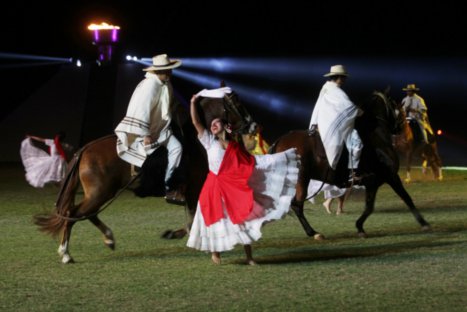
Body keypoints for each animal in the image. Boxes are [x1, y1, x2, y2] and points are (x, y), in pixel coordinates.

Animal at [270, 91, 432, 238]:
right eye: (399, 109)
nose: (400, 129)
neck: (377, 139)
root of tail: (280, 141)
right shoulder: (390, 177)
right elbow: (406, 198)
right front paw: (424, 223)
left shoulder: (373, 183)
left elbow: (369, 206)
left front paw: (359, 227)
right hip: (302, 180)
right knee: (297, 205)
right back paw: (314, 233)